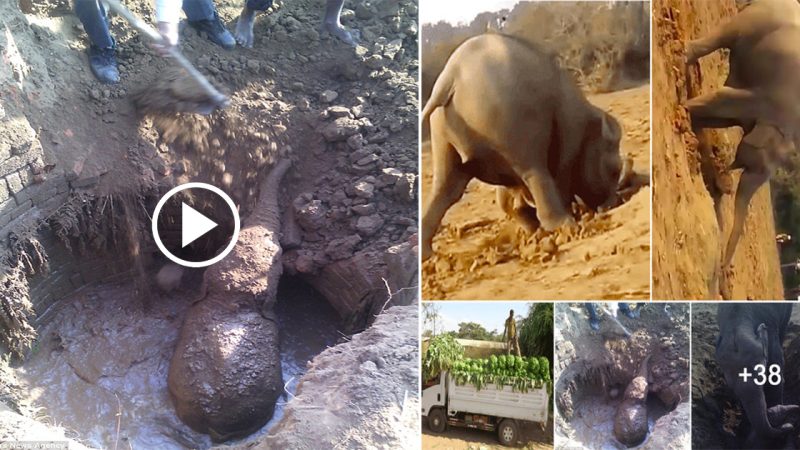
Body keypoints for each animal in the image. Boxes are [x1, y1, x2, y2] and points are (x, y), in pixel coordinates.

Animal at [418, 31, 624, 260]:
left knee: (446, 188)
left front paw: (531, 228)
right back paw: (564, 226)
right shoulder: (569, 129)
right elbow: (560, 170)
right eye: (614, 171)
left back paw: (427, 255)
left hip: (444, 129)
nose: (615, 202)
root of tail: (450, 76)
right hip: (511, 121)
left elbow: (511, 195)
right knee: (534, 169)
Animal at [680, 0, 800, 268]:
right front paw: (683, 109)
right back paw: (683, 54)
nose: (725, 267)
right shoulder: (765, 100)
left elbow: (718, 118)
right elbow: (718, 100)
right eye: (757, 167)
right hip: (752, 22)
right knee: (724, 36)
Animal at [716, 302, 796, 442]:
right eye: (732, 389)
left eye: (761, 377)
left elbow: (776, 369)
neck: (737, 322)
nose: (789, 426)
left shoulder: (770, 327)